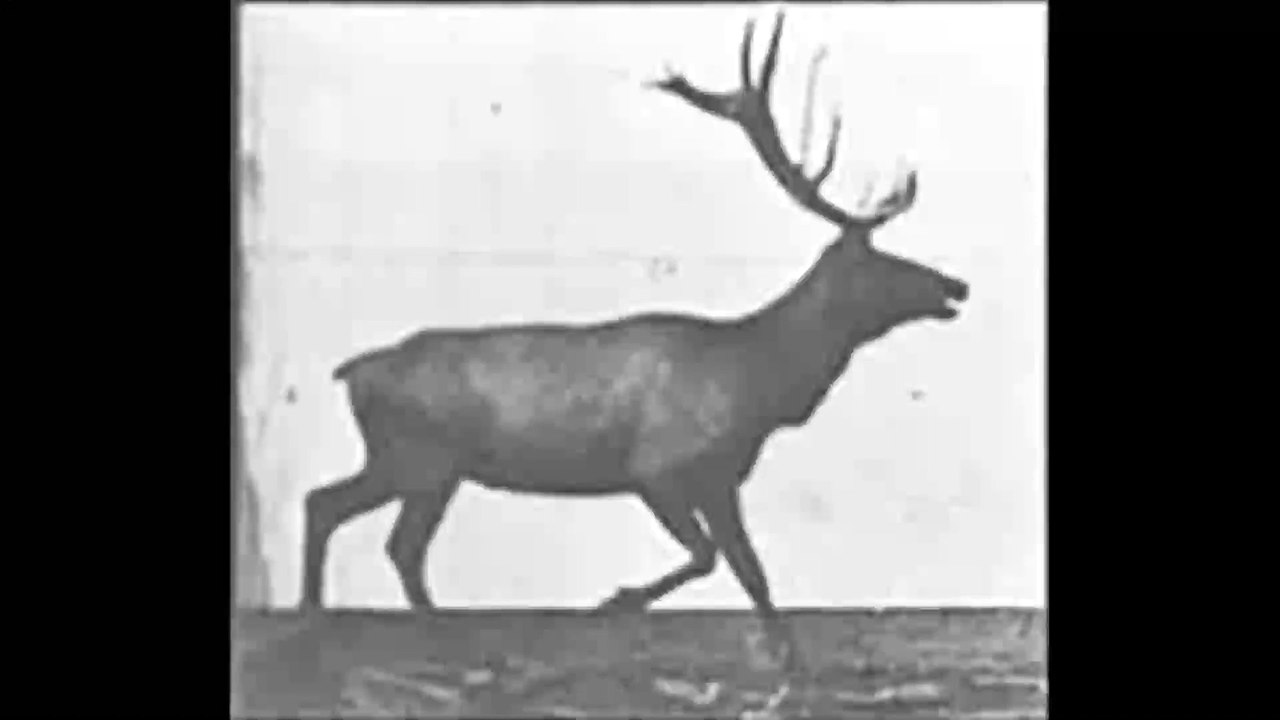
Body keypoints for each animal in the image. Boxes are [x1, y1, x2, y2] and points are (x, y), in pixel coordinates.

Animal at [300, 10, 969, 670]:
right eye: (883, 263)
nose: (956, 284)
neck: (758, 380)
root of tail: (351, 371)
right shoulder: (658, 468)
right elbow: (709, 557)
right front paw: (615, 602)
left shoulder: (721, 479)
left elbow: (754, 574)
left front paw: (785, 659)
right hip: (419, 458)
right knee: (375, 531)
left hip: (414, 465)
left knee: (351, 518)